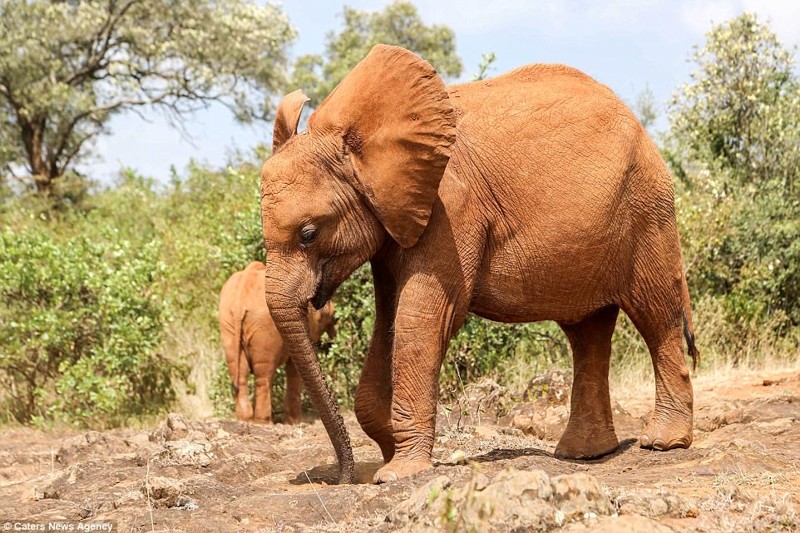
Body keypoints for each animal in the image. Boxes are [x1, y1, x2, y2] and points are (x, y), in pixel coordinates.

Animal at [216, 262, 334, 424]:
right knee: (264, 375)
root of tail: (240, 300)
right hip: (264, 327)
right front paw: (295, 422)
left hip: (227, 321)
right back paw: (264, 422)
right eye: (330, 317)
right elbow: (294, 371)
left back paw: (245, 419)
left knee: (239, 372)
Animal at [260, 45, 696, 484]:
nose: (343, 478)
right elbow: (388, 320)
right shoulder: (390, 220)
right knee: (587, 333)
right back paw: (584, 454)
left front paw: (397, 473)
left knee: (656, 315)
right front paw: (389, 454)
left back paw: (662, 443)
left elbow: (420, 318)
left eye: (308, 233)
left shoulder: (452, 206)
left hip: (647, 211)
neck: (358, 141)